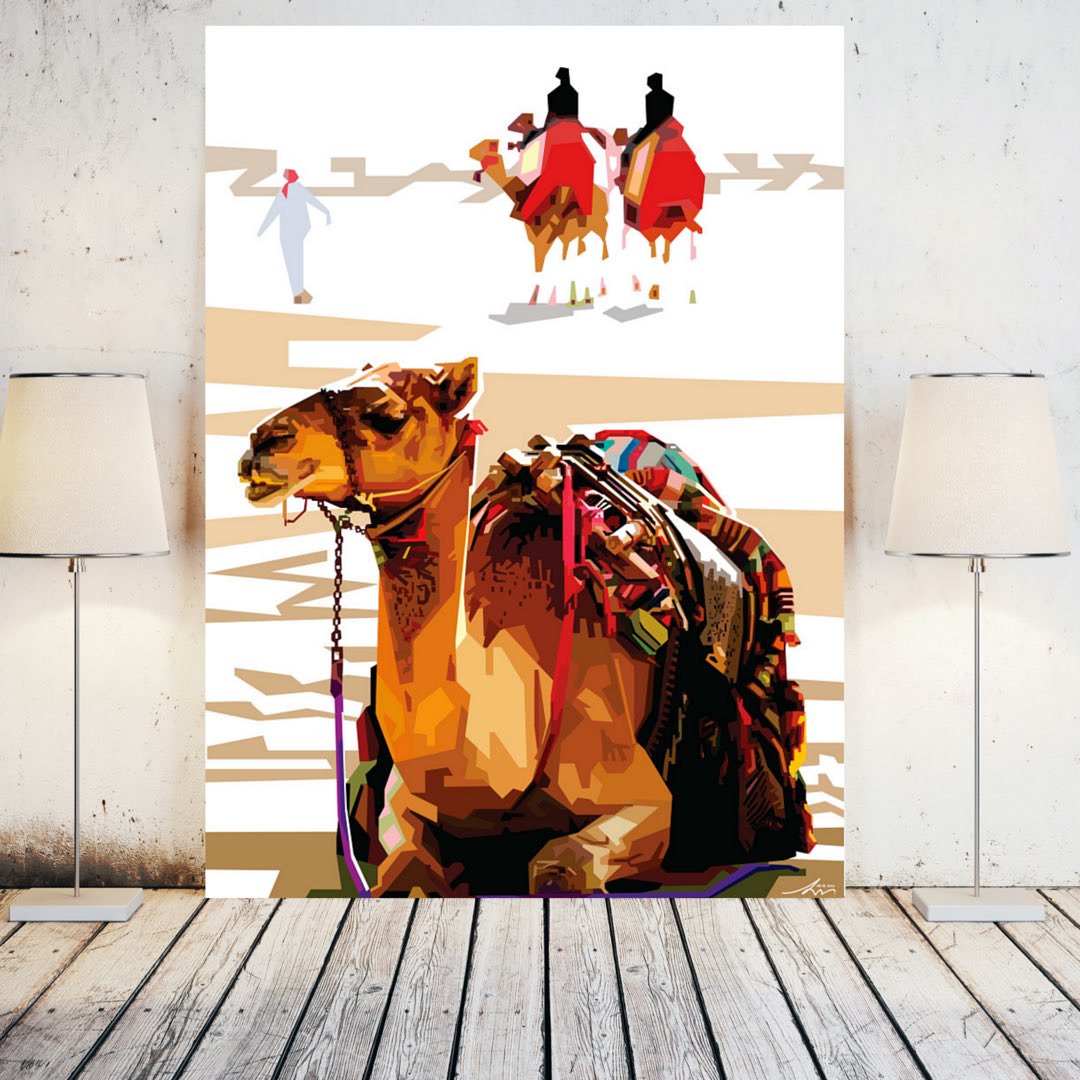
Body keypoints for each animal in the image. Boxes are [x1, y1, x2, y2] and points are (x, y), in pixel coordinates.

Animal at [470, 137, 610, 273]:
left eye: (483, 148)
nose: (470, 151)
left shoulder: (544, 237)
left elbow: (540, 259)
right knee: (578, 239)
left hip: (597, 221)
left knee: (602, 232)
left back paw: (603, 257)